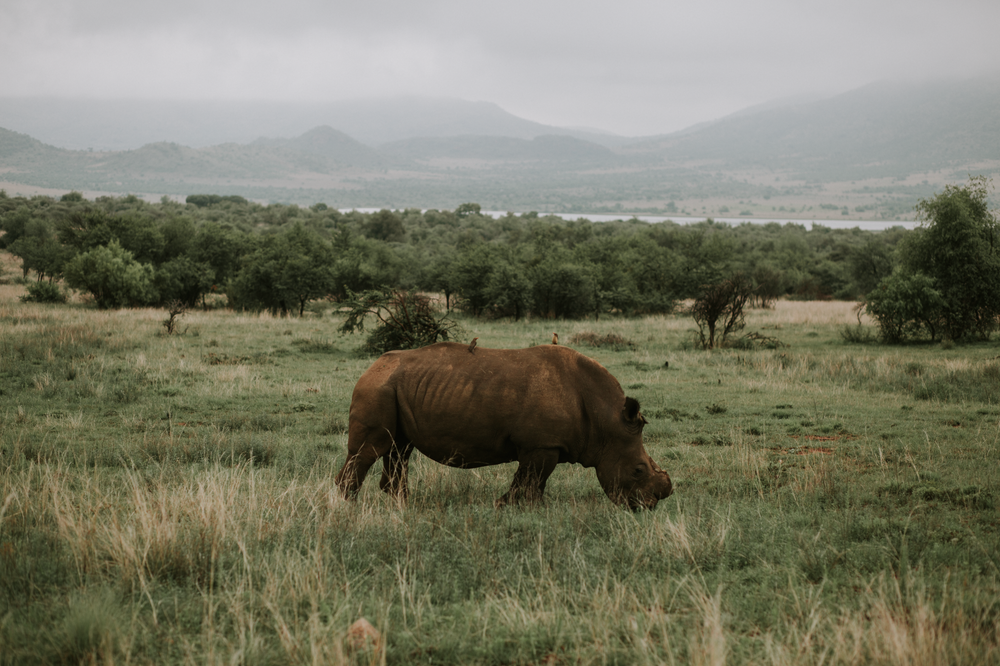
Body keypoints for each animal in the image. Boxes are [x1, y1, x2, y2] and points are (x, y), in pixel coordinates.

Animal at [334, 342, 673, 509]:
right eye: (637, 470)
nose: (648, 506)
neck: (605, 420)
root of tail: (371, 366)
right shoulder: (541, 445)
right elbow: (529, 480)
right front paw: (510, 507)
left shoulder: (542, 446)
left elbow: (534, 482)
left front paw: (523, 508)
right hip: (377, 388)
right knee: (371, 449)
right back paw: (347, 507)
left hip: (393, 388)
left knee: (399, 450)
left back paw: (402, 505)